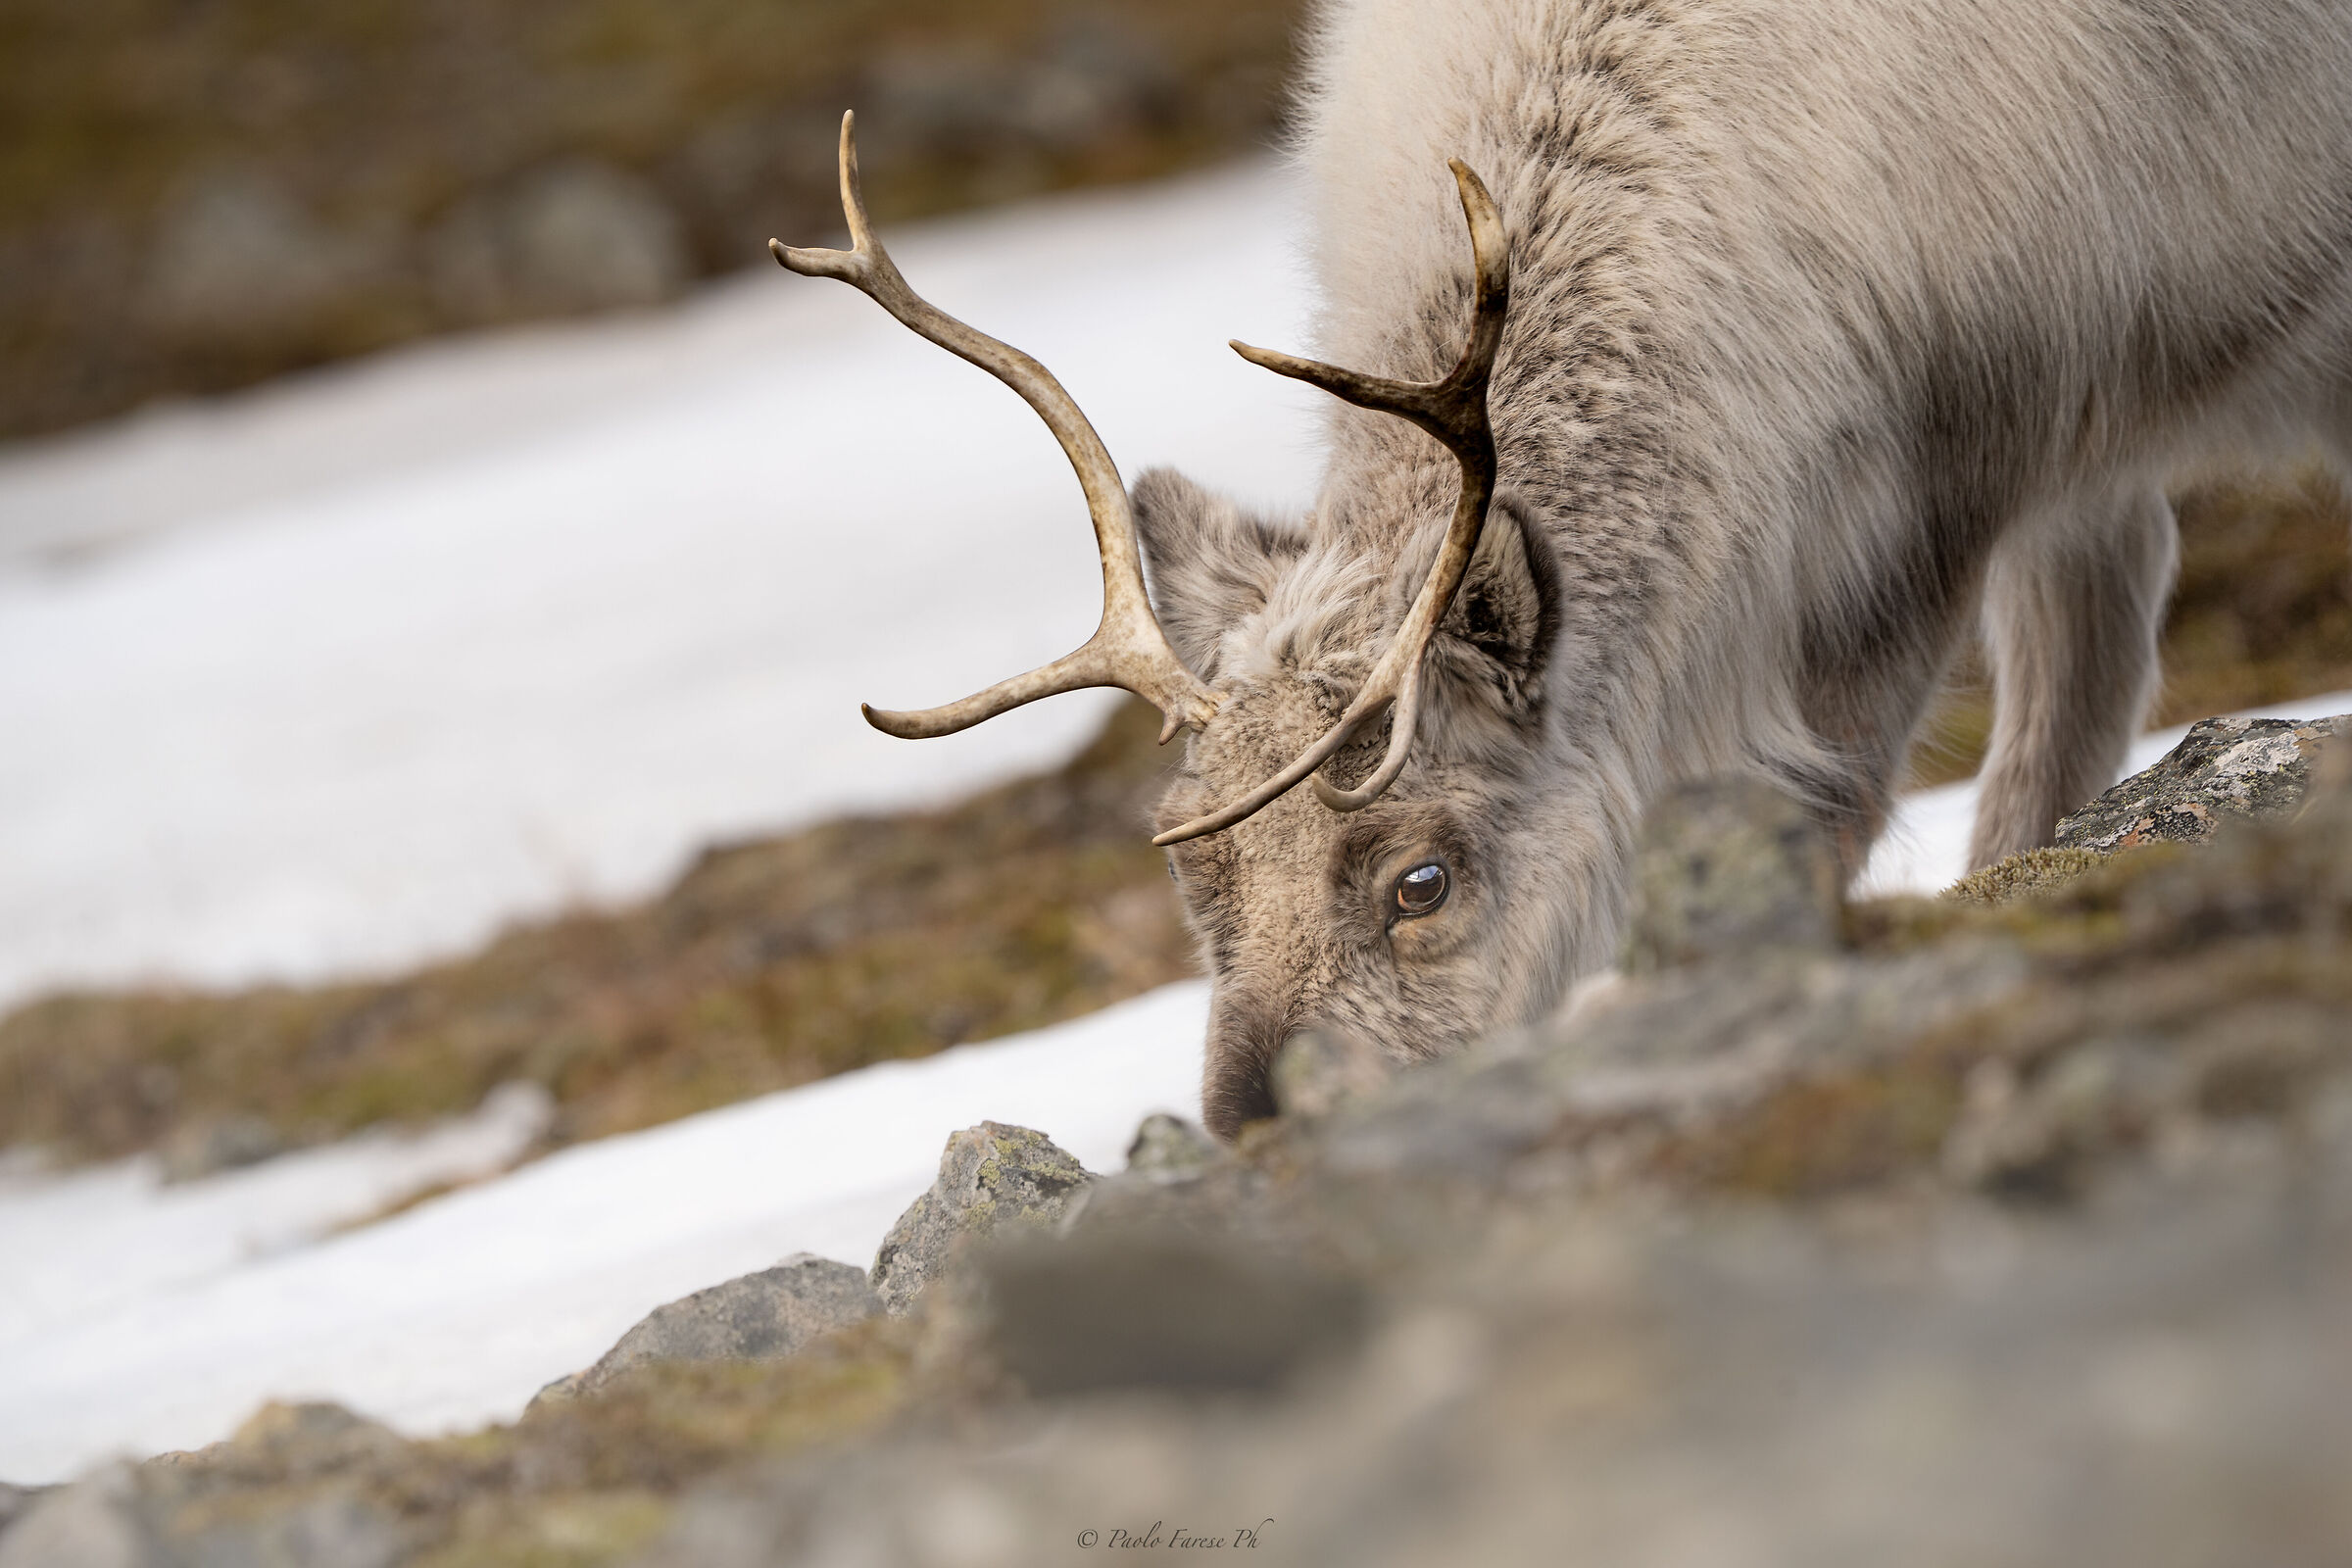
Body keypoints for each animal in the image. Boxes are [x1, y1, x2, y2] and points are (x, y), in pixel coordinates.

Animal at [775, 0, 2352, 1137]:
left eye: (1421, 881)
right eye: (1194, 866)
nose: (1256, 1134)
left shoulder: (1947, 479)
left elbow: (1832, 793)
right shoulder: (2044, 451)